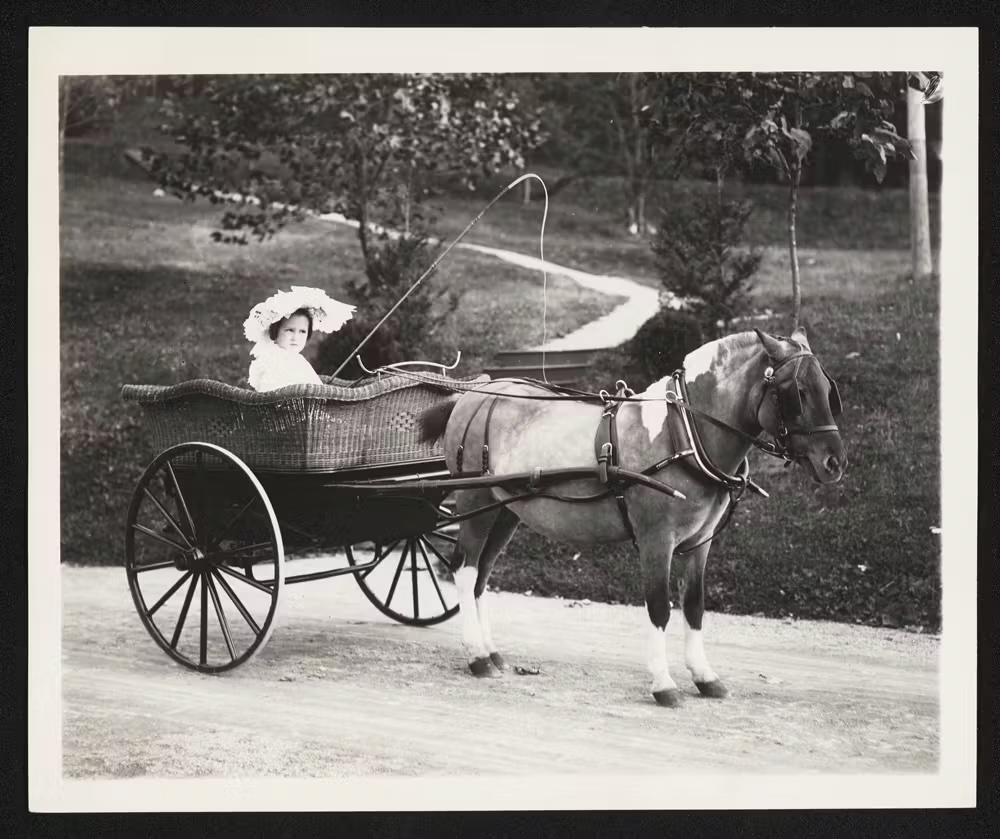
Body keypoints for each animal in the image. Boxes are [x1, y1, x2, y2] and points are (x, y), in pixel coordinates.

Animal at [418, 330, 848, 708]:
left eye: (829, 390)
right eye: (797, 393)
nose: (835, 462)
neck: (683, 435)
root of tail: (472, 398)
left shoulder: (700, 543)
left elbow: (694, 606)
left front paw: (705, 677)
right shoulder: (658, 540)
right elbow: (659, 608)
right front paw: (663, 684)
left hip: (505, 509)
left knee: (481, 575)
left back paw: (490, 652)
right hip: (476, 498)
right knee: (465, 569)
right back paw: (476, 656)